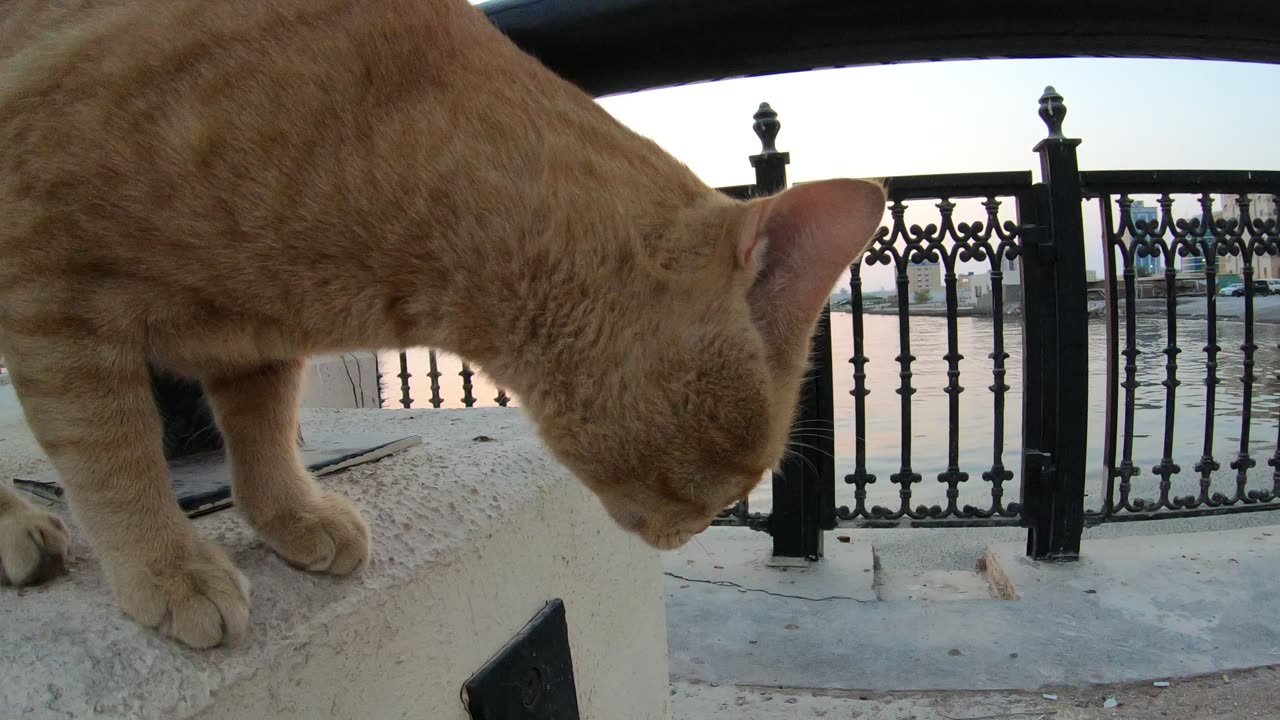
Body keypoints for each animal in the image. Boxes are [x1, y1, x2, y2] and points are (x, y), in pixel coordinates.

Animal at [0, 0, 880, 648]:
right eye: (742, 470)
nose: (693, 534)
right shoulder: (46, 281)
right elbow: (111, 452)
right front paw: (167, 564)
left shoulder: (254, 344)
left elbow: (261, 430)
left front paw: (290, 513)